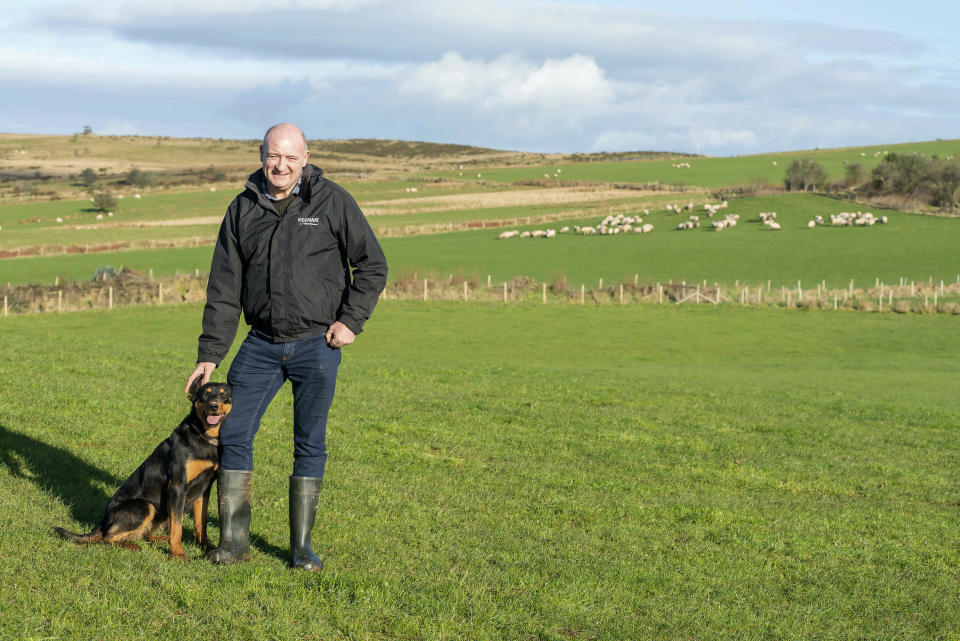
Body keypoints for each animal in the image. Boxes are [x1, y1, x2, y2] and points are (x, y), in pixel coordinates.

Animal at [54, 378, 232, 556]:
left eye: (224, 395)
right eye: (205, 394)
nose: (214, 406)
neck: (203, 434)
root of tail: (104, 521)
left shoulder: (204, 488)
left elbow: (201, 523)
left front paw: (206, 547)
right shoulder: (178, 486)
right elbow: (177, 527)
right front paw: (178, 554)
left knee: (141, 534)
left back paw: (160, 539)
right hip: (146, 507)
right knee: (108, 537)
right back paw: (134, 546)